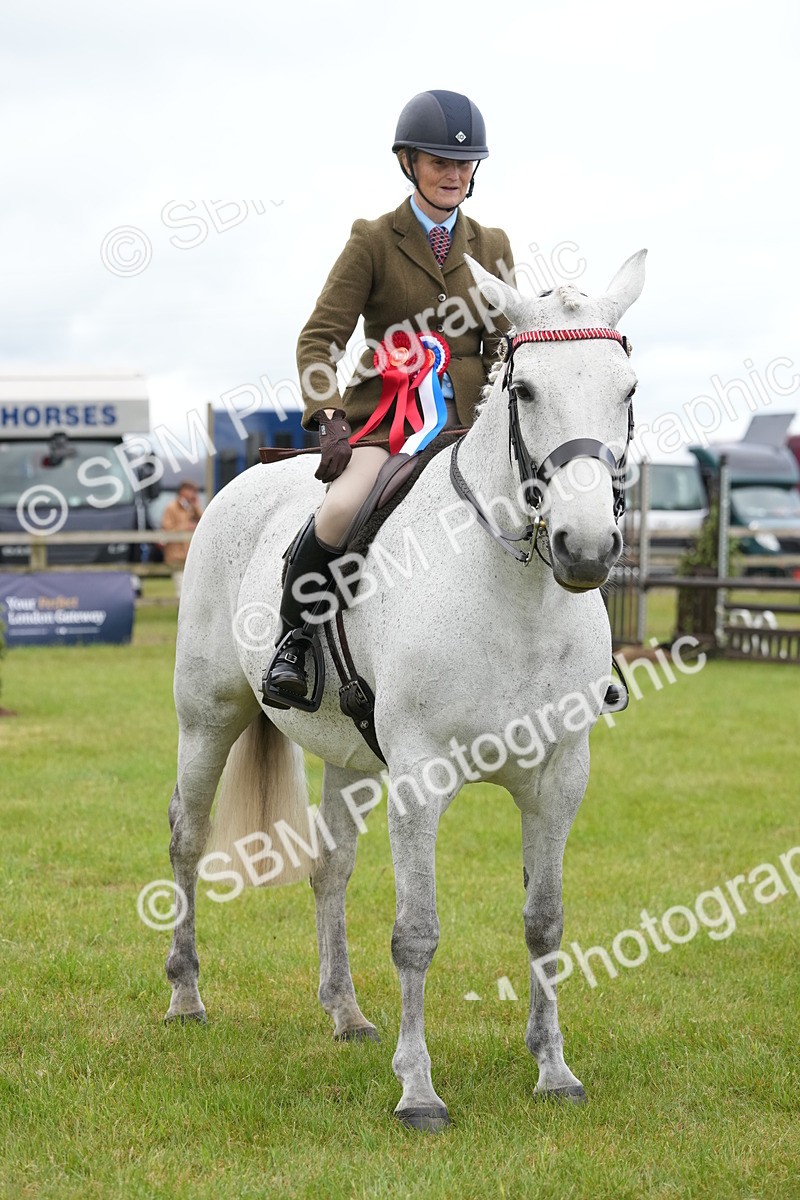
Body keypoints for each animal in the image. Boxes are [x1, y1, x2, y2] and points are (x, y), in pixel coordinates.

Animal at [163, 248, 647, 1132]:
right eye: (527, 391)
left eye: (625, 390)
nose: (586, 547)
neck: (514, 593)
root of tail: (247, 481)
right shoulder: (421, 780)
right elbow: (416, 932)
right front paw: (418, 1091)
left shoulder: (559, 779)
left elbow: (545, 922)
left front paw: (554, 1069)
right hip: (207, 718)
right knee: (188, 836)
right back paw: (186, 996)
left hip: (349, 757)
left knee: (330, 866)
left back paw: (346, 1012)